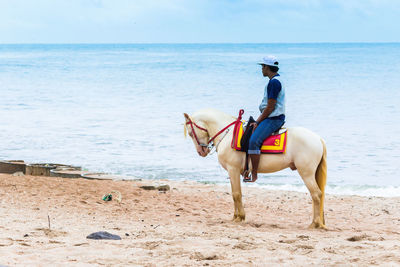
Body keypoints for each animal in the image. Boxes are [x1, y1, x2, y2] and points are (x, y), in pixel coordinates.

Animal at [184, 108, 328, 229]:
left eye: (190, 133)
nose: (201, 152)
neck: (228, 135)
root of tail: (318, 139)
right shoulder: (232, 172)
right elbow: (234, 193)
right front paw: (235, 217)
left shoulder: (233, 169)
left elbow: (236, 194)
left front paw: (240, 217)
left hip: (306, 173)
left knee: (316, 194)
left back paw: (315, 223)